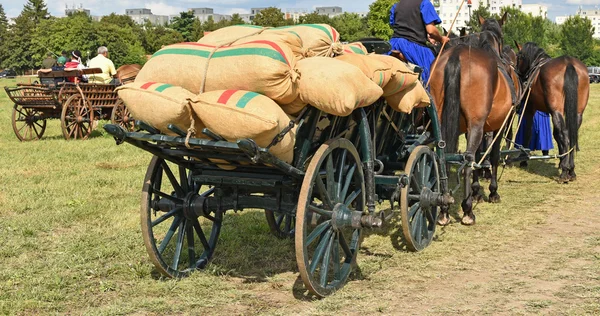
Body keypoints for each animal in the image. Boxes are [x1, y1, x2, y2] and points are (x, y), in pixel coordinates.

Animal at [432, 14, 516, 226]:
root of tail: (457, 54)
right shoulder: (497, 126)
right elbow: (491, 156)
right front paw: (492, 192)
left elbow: (480, 155)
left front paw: (477, 190)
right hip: (478, 125)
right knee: (468, 159)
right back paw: (468, 210)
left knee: (444, 157)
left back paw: (444, 208)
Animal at [512, 41, 588, 183]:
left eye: (519, 57)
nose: (517, 72)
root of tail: (568, 63)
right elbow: (557, 136)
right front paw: (561, 161)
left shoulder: (530, 109)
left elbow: (528, 132)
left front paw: (524, 159)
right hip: (577, 113)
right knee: (571, 135)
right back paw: (571, 170)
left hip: (556, 112)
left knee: (565, 135)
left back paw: (565, 172)